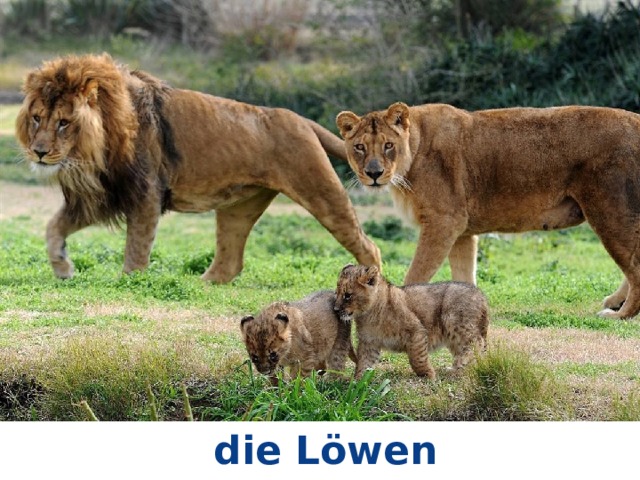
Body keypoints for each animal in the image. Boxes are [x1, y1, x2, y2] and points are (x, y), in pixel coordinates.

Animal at [15, 53, 380, 283]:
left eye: (64, 123)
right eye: (36, 118)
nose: (39, 152)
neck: (93, 152)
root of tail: (301, 119)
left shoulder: (145, 194)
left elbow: (136, 248)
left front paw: (130, 283)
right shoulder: (102, 194)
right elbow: (53, 228)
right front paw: (63, 269)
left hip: (321, 191)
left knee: (368, 245)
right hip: (238, 209)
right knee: (230, 263)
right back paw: (199, 284)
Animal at [334, 264, 488, 379]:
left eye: (347, 295)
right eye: (337, 293)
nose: (335, 309)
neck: (368, 315)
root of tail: (481, 295)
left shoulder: (416, 331)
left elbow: (417, 358)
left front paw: (428, 375)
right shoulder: (369, 342)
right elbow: (364, 363)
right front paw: (358, 382)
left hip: (453, 319)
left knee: (477, 341)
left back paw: (461, 361)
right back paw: (455, 368)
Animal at [336, 101, 640, 319]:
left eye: (388, 145)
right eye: (360, 147)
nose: (373, 174)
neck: (414, 150)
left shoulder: (443, 222)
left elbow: (416, 275)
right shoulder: (460, 231)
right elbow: (464, 275)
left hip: (610, 211)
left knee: (635, 267)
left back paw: (620, 314)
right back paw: (616, 303)